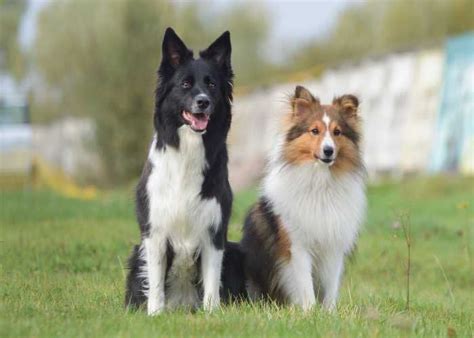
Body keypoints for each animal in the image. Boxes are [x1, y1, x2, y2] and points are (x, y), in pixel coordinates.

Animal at [126, 27, 233, 316]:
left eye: (211, 85)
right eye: (185, 84)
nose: (203, 102)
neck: (188, 152)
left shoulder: (214, 232)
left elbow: (212, 281)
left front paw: (211, 314)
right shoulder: (155, 232)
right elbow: (155, 281)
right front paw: (155, 314)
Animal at [239, 85, 368, 312]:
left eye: (337, 132)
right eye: (314, 130)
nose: (328, 151)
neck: (320, 183)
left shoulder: (334, 244)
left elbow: (331, 285)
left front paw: (329, 313)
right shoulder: (296, 244)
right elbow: (304, 283)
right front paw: (309, 311)